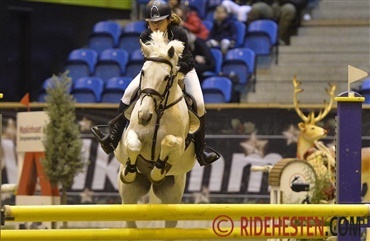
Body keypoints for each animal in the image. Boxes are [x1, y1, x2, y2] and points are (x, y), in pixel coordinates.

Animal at [115, 32, 199, 228]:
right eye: (143, 72)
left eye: (167, 77)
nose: (144, 116)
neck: (158, 110)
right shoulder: (130, 135)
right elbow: (134, 145)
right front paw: (130, 171)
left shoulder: (179, 145)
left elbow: (168, 141)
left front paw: (156, 171)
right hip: (128, 196)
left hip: (173, 197)